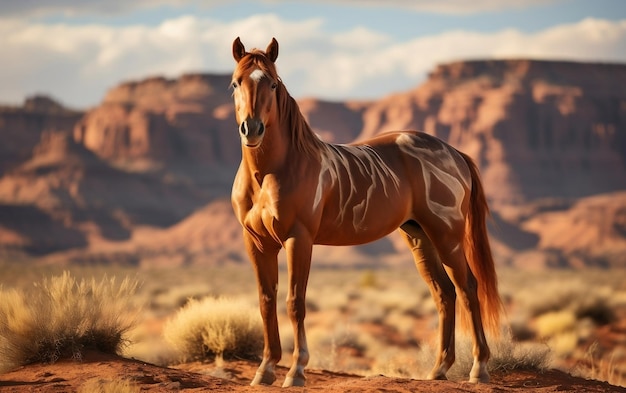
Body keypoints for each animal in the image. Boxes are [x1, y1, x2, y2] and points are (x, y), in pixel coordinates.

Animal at [229, 36, 502, 386]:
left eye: (273, 84)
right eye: (235, 83)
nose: (252, 130)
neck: (272, 172)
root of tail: (455, 152)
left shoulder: (298, 238)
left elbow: (295, 302)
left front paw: (296, 371)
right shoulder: (256, 242)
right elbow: (266, 301)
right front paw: (264, 370)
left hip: (447, 235)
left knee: (467, 287)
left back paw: (478, 369)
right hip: (419, 235)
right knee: (444, 293)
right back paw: (438, 370)